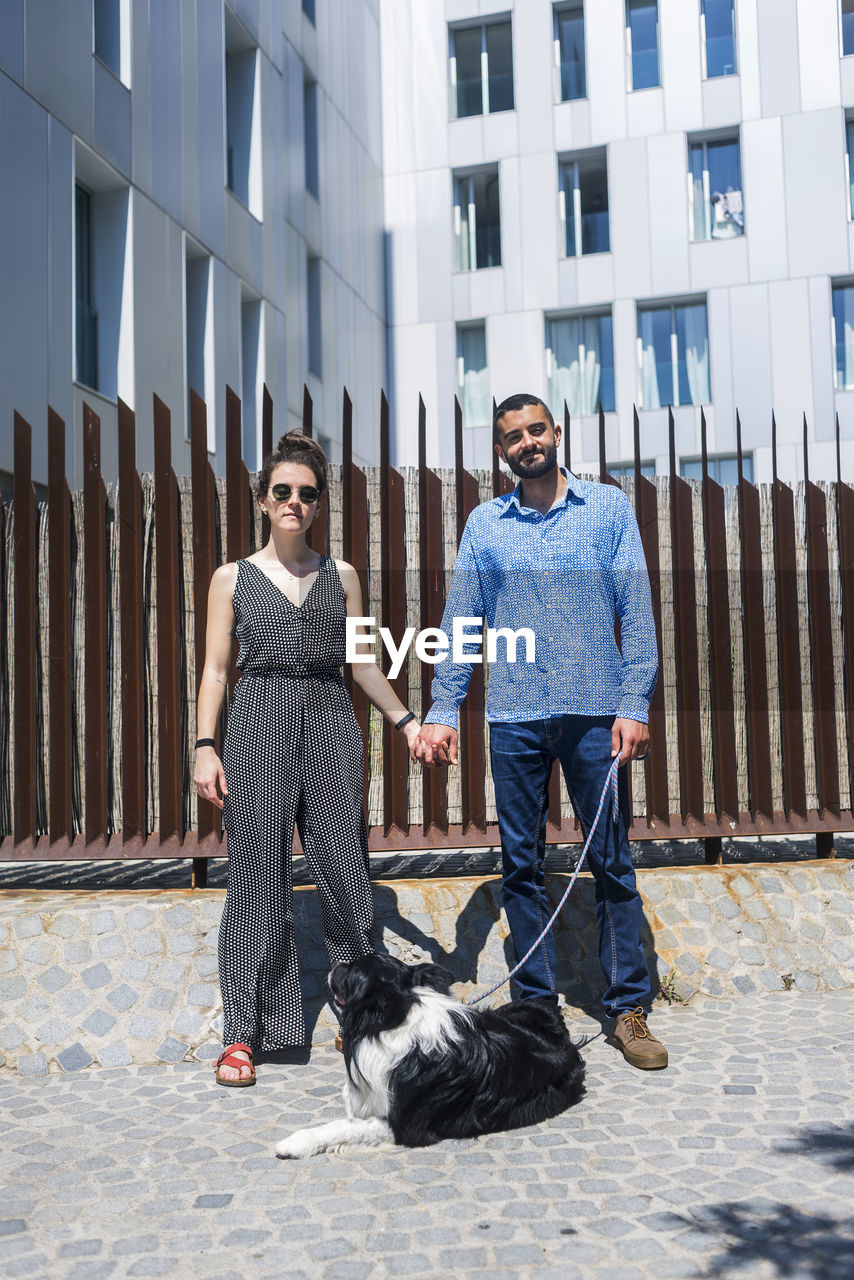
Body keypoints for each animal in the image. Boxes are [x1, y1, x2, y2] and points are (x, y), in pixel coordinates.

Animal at [277, 952, 583, 1162]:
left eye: (351, 972)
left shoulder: (403, 1125)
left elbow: (347, 1125)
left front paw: (296, 1143)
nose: (335, 964)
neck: (393, 1022)